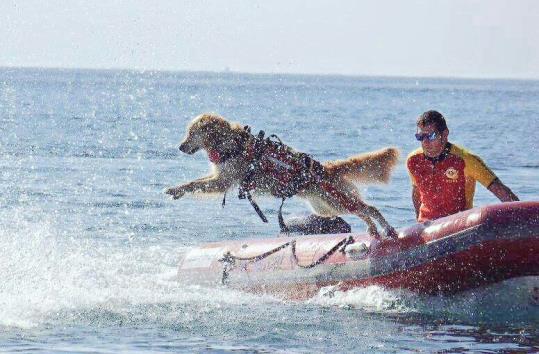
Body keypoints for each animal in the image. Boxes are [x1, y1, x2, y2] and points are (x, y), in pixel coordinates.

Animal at [166, 113, 400, 238]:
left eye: (191, 133)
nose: (180, 147)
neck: (231, 144)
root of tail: (327, 168)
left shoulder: (223, 181)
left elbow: (193, 184)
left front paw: (176, 189)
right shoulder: (220, 178)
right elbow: (197, 182)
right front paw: (176, 191)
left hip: (336, 199)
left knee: (370, 209)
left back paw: (386, 229)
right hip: (326, 206)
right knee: (362, 211)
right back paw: (375, 230)